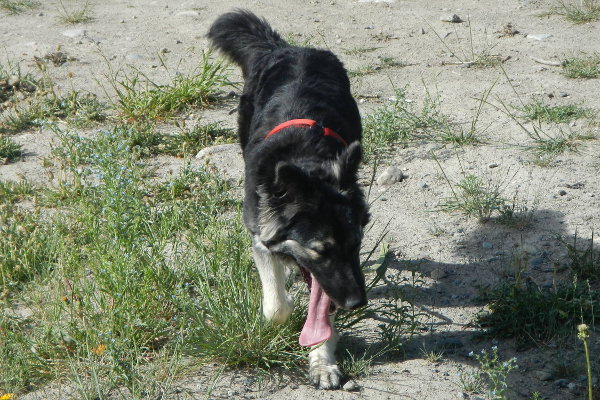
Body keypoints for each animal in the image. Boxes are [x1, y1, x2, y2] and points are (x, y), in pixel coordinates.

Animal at [207, 9, 370, 390]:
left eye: (356, 245)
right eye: (321, 251)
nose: (357, 303)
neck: (307, 162)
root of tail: (285, 47)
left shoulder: (333, 278)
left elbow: (322, 311)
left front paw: (323, 362)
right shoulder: (261, 236)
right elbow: (276, 308)